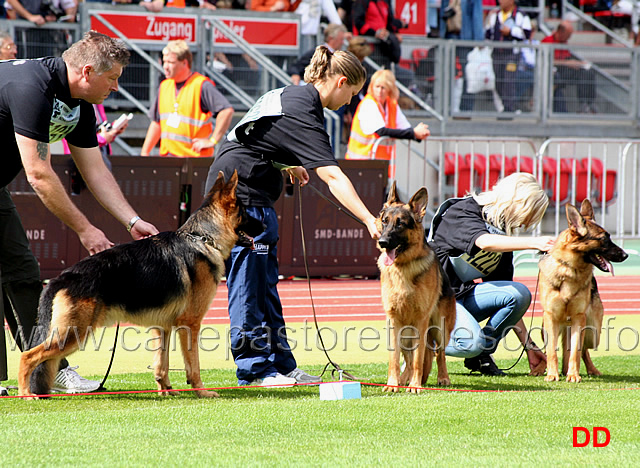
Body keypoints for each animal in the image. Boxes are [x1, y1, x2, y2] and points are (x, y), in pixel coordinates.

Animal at [17, 171, 264, 398]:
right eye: (245, 213)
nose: (264, 226)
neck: (203, 238)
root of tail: (60, 278)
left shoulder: (163, 326)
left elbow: (162, 364)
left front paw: (166, 391)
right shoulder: (190, 324)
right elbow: (193, 365)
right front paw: (201, 392)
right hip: (73, 333)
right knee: (28, 356)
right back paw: (25, 393)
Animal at [376, 185, 456, 394]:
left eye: (400, 224)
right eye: (385, 221)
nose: (382, 242)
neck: (402, 267)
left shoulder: (421, 320)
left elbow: (420, 358)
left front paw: (415, 385)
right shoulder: (393, 321)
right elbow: (395, 359)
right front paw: (393, 384)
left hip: (439, 329)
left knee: (439, 354)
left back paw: (442, 378)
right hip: (406, 333)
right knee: (409, 359)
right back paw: (404, 379)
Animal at [536, 199, 628, 382]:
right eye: (603, 239)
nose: (625, 255)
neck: (569, 270)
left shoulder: (579, 318)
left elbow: (575, 352)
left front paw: (573, 375)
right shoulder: (550, 317)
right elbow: (551, 351)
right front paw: (552, 374)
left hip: (593, 332)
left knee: (583, 349)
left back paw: (589, 370)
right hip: (546, 328)